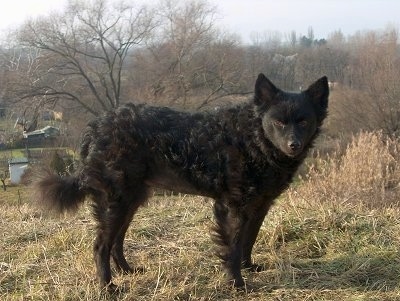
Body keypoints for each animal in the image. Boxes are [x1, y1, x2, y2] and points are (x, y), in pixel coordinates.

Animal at [35, 72, 328, 288]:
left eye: (304, 121)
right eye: (278, 122)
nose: (293, 145)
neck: (252, 138)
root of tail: (94, 129)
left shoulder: (260, 205)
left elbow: (249, 239)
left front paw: (249, 267)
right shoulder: (232, 206)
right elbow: (232, 247)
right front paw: (237, 283)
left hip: (130, 201)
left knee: (116, 242)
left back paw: (128, 271)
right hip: (115, 202)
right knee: (100, 246)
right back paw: (108, 288)